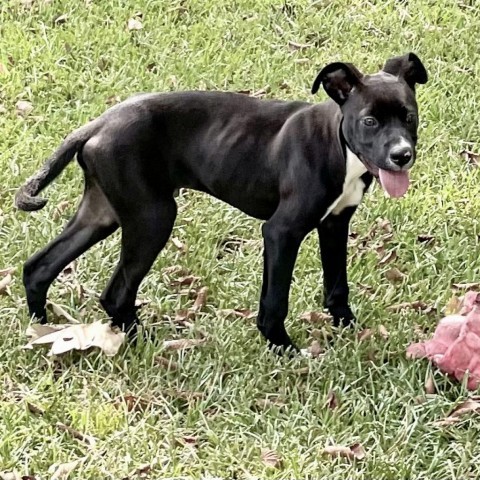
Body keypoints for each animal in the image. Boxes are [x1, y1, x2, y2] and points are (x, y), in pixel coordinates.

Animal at [15, 52, 428, 352]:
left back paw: (41, 325)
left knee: (40, 266)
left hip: (103, 213)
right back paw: (145, 343)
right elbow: (275, 300)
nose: (402, 156)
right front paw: (283, 348)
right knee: (116, 294)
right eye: (370, 121)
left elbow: (337, 284)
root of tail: (99, 123)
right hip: (152, 218)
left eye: (409, 117)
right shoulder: (282, 232)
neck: (339, 143)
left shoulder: (335, 223)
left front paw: (349, 328)